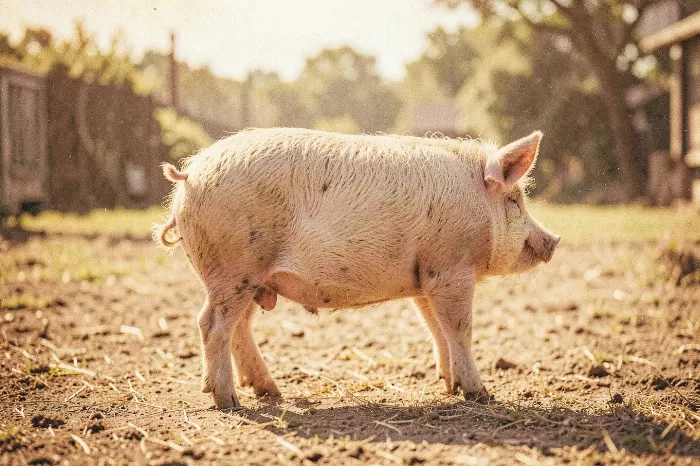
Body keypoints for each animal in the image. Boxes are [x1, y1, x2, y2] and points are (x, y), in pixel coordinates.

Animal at [155, 127, 560, 409]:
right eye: (514, 200)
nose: (554, 240)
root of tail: (190, 175)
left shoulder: (427, 276)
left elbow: (437, 330)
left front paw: (450, 386)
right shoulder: (451, 269)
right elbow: (461, 329)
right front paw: (482, 396)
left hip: (252, 278)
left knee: (239, 328)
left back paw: (269, 392)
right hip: (234, 268)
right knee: (211, 324)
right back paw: (229, 402)